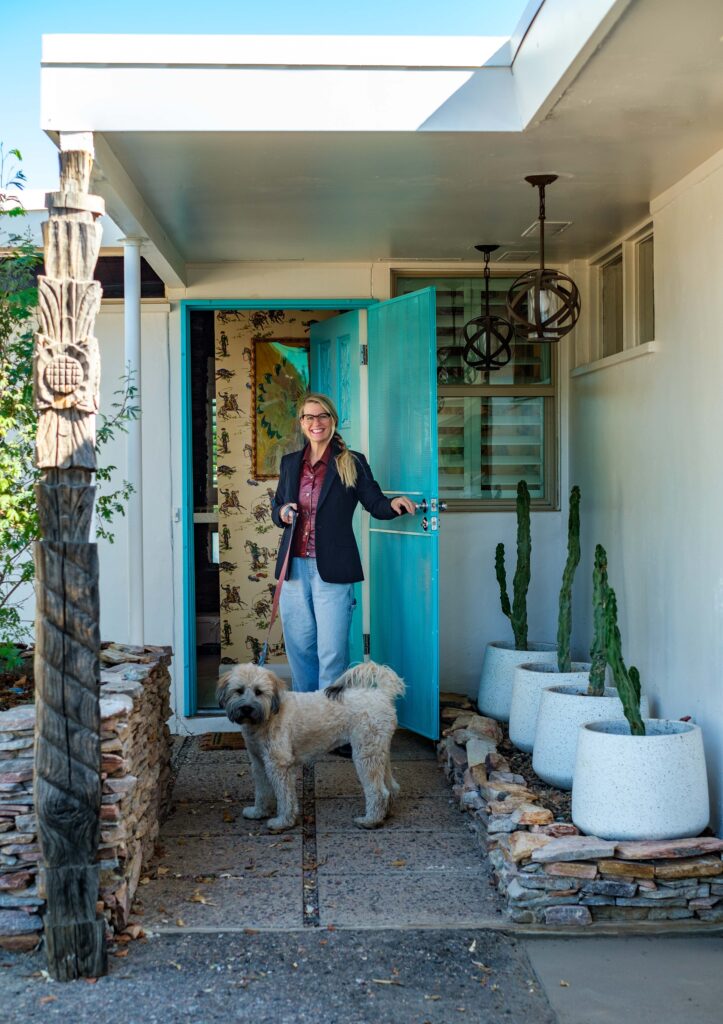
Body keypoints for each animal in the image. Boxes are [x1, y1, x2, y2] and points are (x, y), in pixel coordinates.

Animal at [217, 662, 405, 831]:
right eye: (239, 690)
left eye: (258, 692)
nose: (246, 708)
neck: (270, 713)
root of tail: (382, 693)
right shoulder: (259, 763)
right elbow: (262, 791)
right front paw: (258, 812)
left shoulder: (279, 765)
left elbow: (285, 797)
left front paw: (283, 822)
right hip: (377, 752)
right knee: (391, 787)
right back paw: (384, 814)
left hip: (365, 755)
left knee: (379, 791)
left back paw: (370, 820)